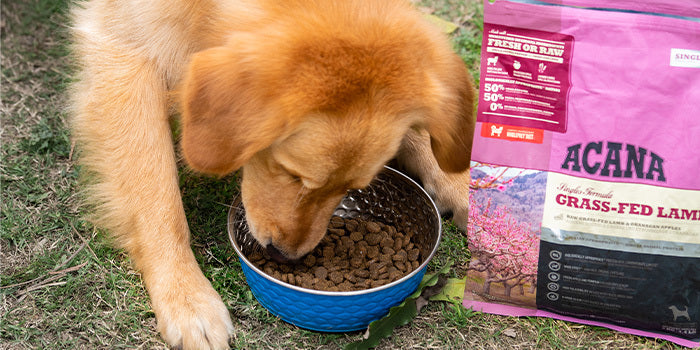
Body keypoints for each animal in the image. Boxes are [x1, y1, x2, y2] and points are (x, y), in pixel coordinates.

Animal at [69, 0, 476, 348]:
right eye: (290, 173)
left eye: (351, 187)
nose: (286, 257)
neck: (203, 9)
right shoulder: (124, 47)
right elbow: (158, 196)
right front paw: (186, 297)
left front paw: (465, 191)